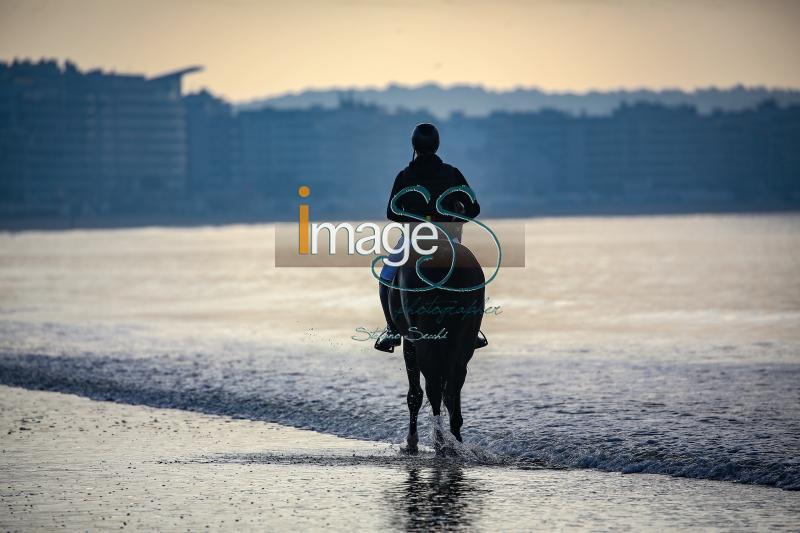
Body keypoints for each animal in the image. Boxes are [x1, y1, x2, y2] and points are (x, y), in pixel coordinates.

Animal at [386, 239, 484, 450]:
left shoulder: (410, 343)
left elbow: (414, 394)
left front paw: (411, 441)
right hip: (463, 343)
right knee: (453, 387)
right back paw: (455, 439)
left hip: (425, 343)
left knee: (433, 388)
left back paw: (439, 441)